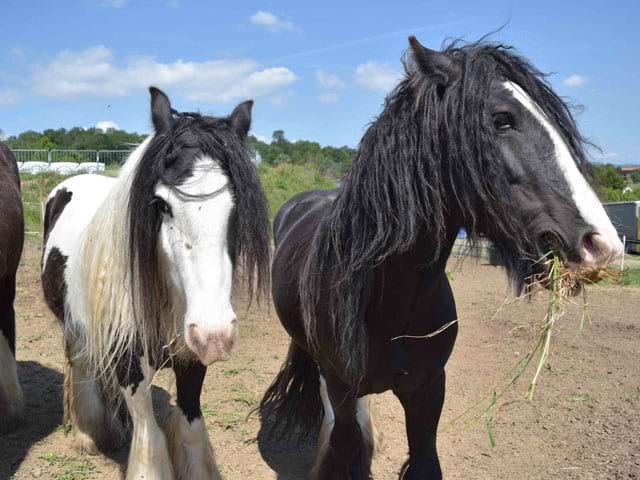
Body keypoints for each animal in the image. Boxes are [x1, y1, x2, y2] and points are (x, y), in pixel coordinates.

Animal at [40, 88, 270, 478]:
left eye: (237, 206)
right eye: (161, 204)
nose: (216, 335)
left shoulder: (191, 357)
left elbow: (191, 428)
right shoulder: (128, 361)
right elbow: (149, 435)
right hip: (74, 325)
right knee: (82, 364)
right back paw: (90, 435)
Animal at [258, 35, 624, 478]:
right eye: (502, 119)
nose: (601, 244)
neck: (391, 302)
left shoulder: (429, 391)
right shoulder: (344, 387)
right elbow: (348, 445)